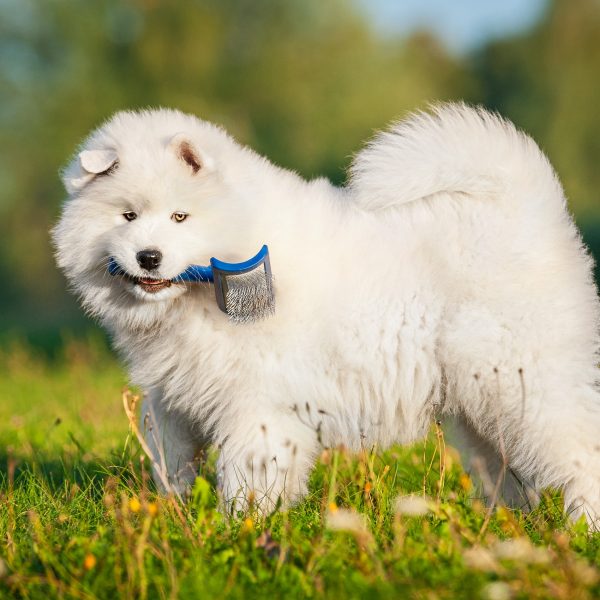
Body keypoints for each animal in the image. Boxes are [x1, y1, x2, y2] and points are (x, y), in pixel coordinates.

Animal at [51, 105, 600, 528]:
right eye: (127, 215)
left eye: (180, 217)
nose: (148, 257)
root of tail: (529, 210)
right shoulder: (174, 396)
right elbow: (171, 455)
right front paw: (175, 513)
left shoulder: (259, 403)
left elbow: (248, 471)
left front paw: (241, 528)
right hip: (480, 403)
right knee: (505, 468)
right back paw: (502, 526)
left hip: (522, 382)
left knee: (579, 449)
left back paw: (582, 529)